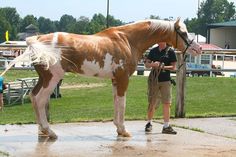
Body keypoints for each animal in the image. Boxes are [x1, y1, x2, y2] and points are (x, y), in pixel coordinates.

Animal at [1, 18, 201, 139]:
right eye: (183, 33)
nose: (198, 49)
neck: (128, 40)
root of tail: (36, 40)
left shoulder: (115, 80)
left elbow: (116, 102)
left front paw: (118, 129)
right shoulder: (123, 79)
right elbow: (122, 103)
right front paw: (123, 131)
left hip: (44, 78)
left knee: (34, 97)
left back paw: (44, 132)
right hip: (52, 78)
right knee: (40, 99)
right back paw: (49, 132)